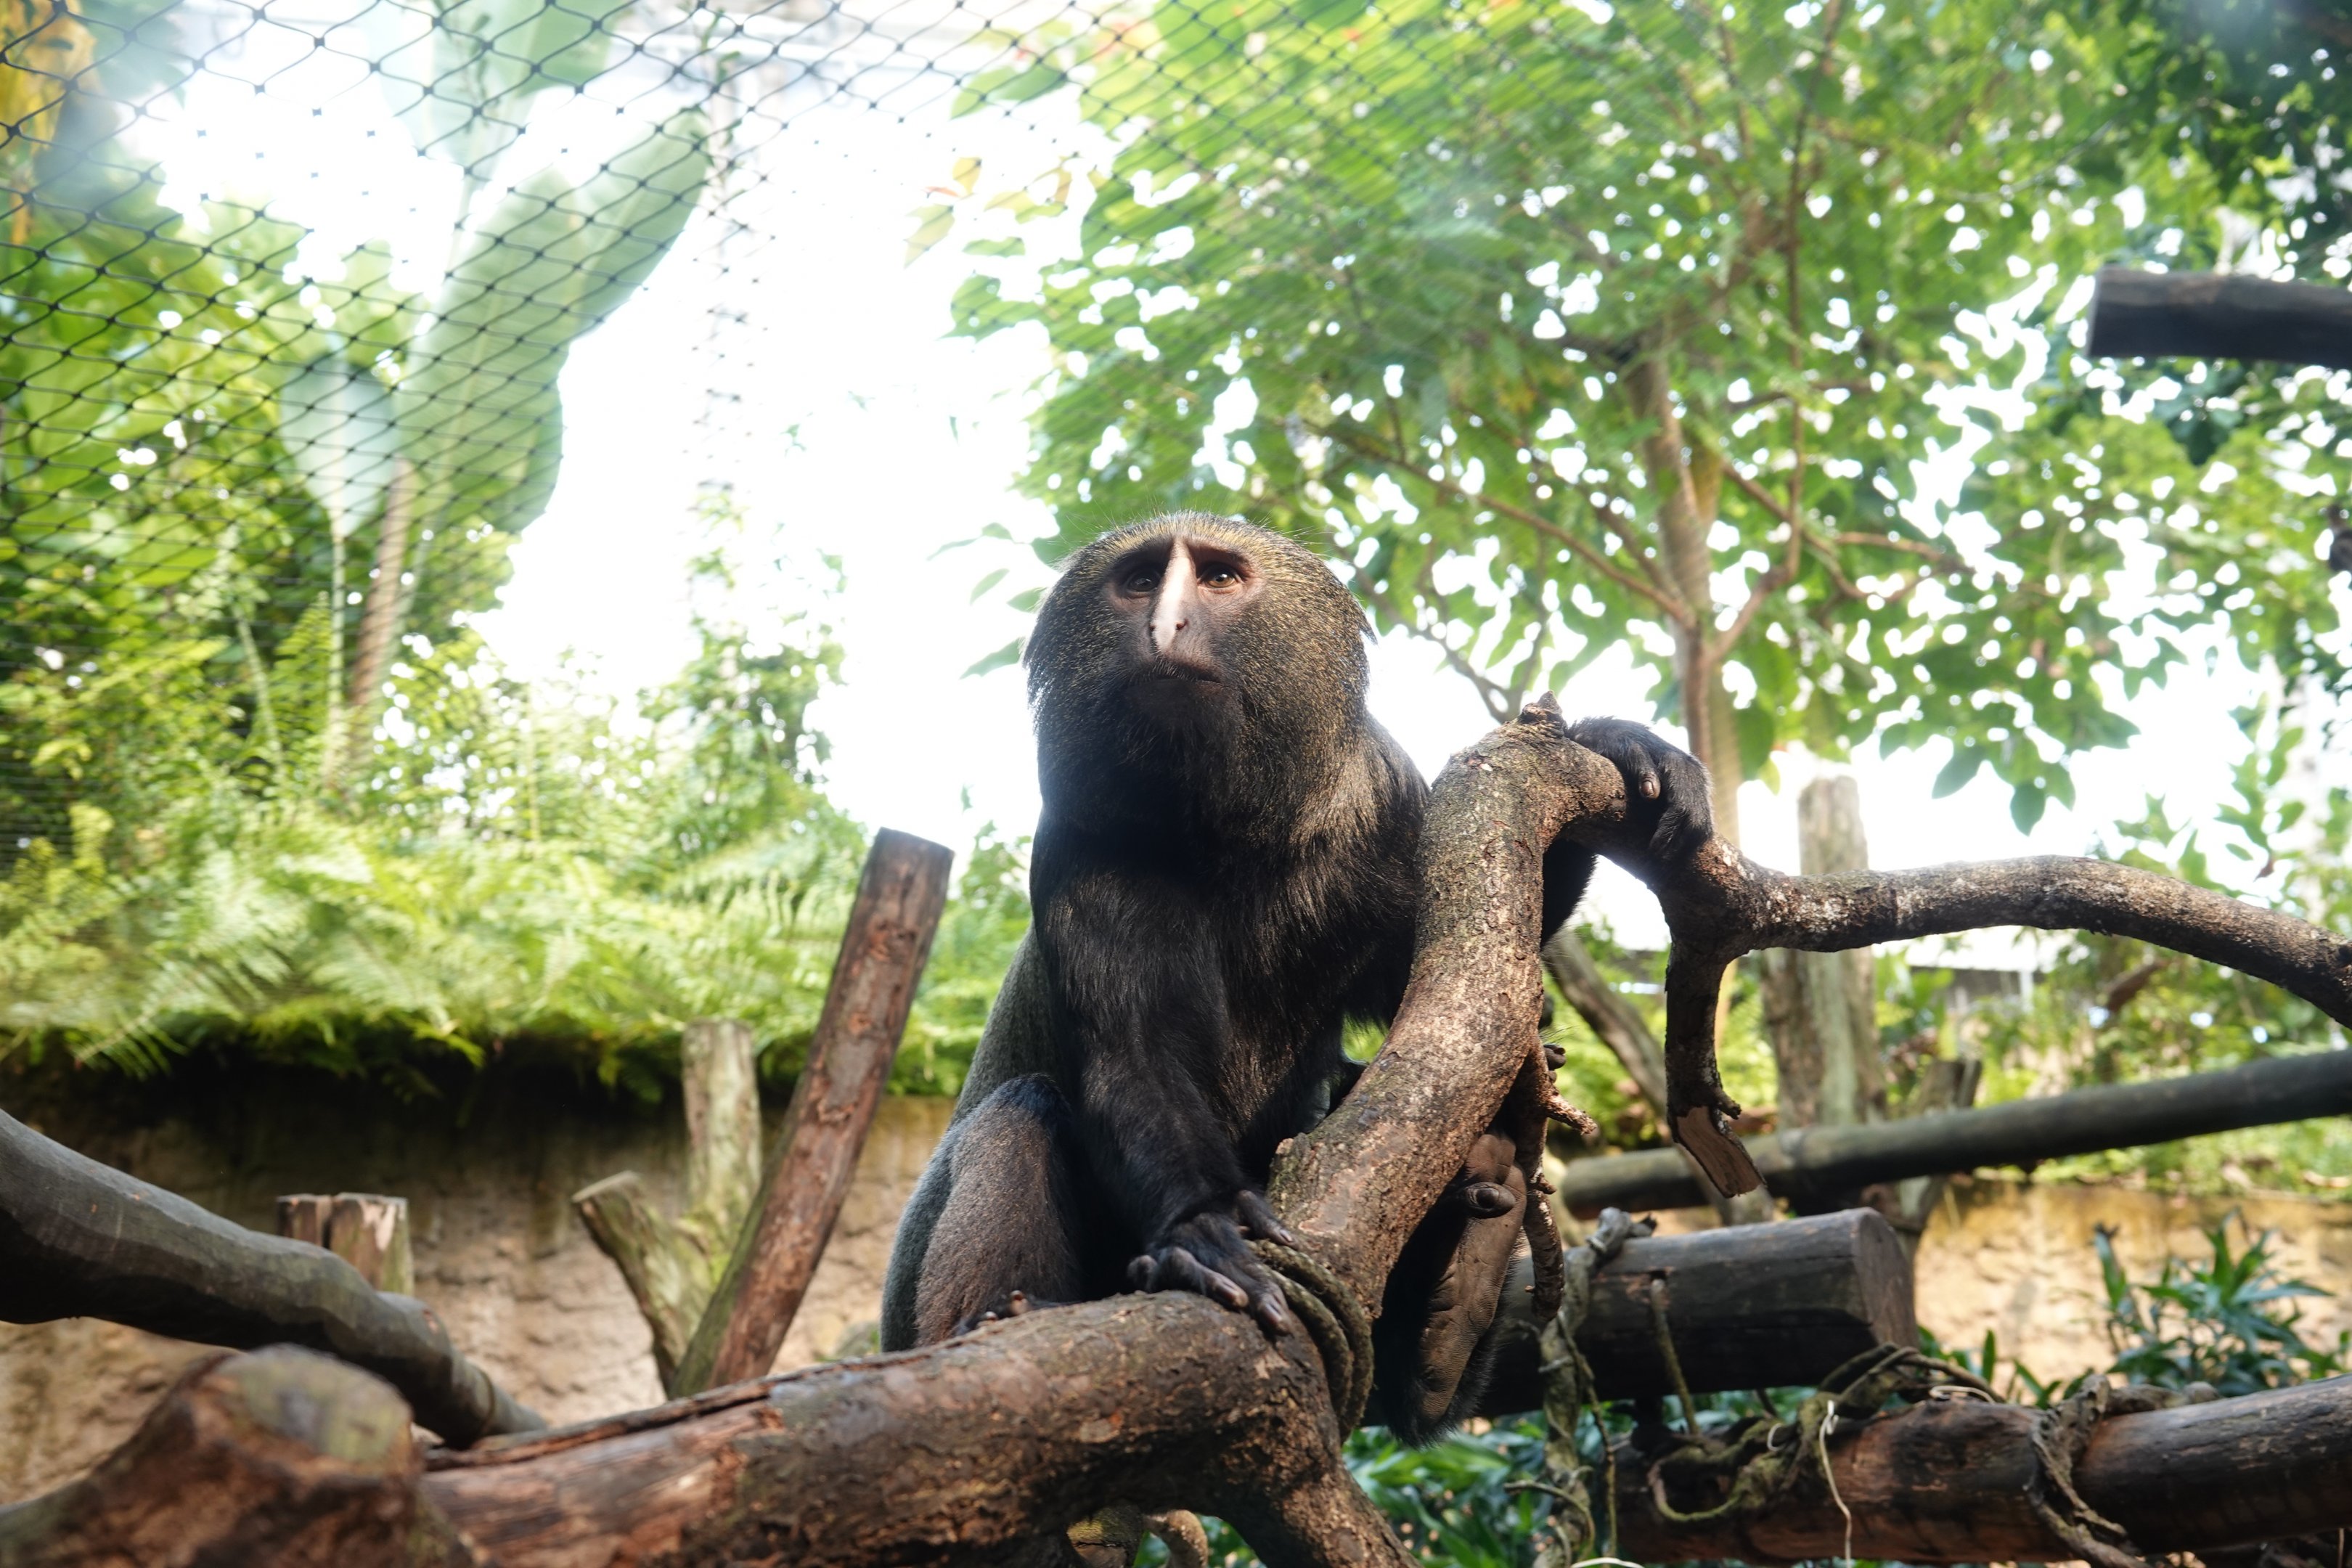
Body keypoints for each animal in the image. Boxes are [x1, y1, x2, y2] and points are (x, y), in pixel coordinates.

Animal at [880, 513, 1711, 1440]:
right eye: (1140, 582)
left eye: (1217, 578)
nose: (1164, 626)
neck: (1225, 831)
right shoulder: (1076, 844)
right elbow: (1135, 1059)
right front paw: (1204, 1227)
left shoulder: (1379, 801)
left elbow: (1439, 959)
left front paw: (1615, 742)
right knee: (1020, 1111)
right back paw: (1000, 1320)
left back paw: (1447, 1322)